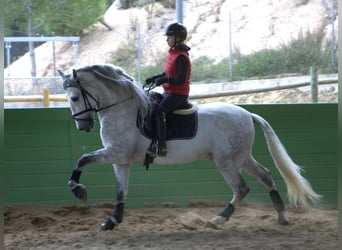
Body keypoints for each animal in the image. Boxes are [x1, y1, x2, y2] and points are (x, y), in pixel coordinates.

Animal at [57, 63, 320, 231]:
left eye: (74, 98)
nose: (83, 126)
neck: (122, 108)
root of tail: (247, 113)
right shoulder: (120, 160)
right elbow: (121, 191)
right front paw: (111, 222)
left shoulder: (114, 153)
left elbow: (82, 159)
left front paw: (77, 189)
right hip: (241, 157)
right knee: (265, 175)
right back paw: (281, 215)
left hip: (226, 161)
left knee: (241, 188)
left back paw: (219, 219)